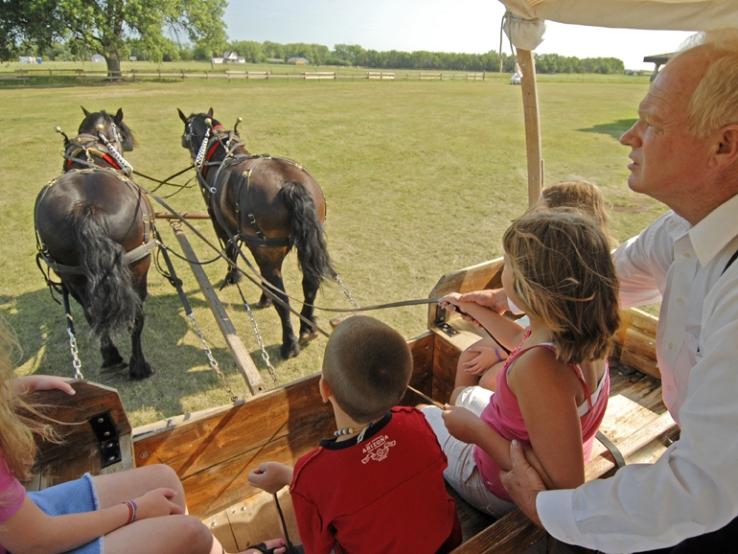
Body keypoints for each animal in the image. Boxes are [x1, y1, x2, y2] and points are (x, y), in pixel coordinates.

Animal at [35, 105, 156, 378]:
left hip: (72, 274)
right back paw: (137, 366)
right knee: (133, 316)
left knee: (96, 314)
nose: (131, 142)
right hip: (136, 265)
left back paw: (115, 358)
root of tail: (86, 207)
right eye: (121, 129)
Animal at [177, 108, 332, 358]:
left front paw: (233, 277)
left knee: (282, 296)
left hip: (266, 249)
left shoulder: (219, 221)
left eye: (186, 130)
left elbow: (230, 250)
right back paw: (307, 328)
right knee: (309, 284)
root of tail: (291, 185)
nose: (185, 143)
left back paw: (289, 344)